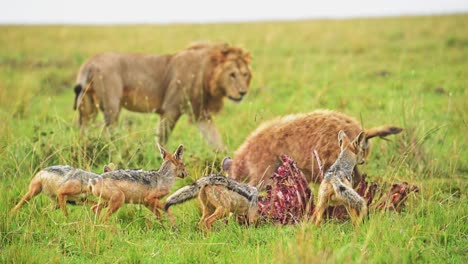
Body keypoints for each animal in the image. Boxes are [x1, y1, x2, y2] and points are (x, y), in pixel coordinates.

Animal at [73, 43, 252, 151]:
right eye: (232, 75)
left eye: (244, 74)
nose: (243, 92)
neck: (206, 72)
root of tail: (90, 62)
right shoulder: (170, 110)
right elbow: (162, 138)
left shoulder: (200, 114)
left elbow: (215, 139)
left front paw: (227, 156)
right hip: (112, 106)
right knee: (110, 132)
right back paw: (118, 150)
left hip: (87, 107)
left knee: (83, 129)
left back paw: (83, 148)